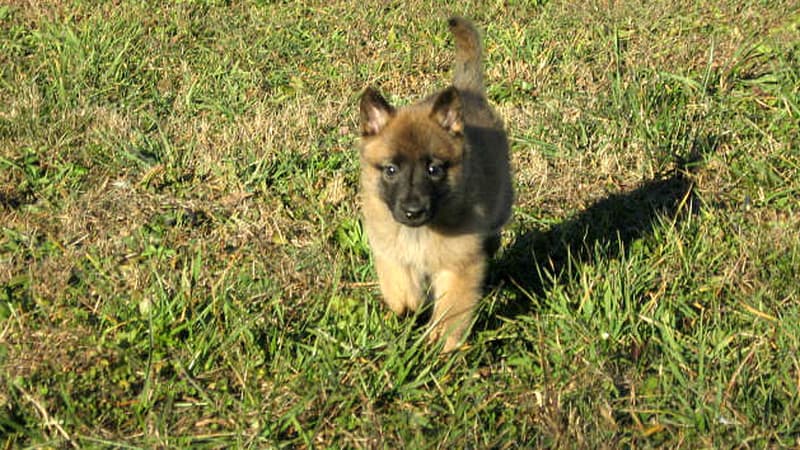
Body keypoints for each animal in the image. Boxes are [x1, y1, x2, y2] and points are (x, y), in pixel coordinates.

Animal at [358, 16, 512, 352]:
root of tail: (467, 92)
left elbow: (452, 310)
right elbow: (399, 287)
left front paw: (441, 343)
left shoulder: (459, 266)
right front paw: (410, 305)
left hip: (502, 199)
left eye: (434, 169)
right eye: (391, 169)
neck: (419, 233)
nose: (413, 211)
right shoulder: (389, 252)